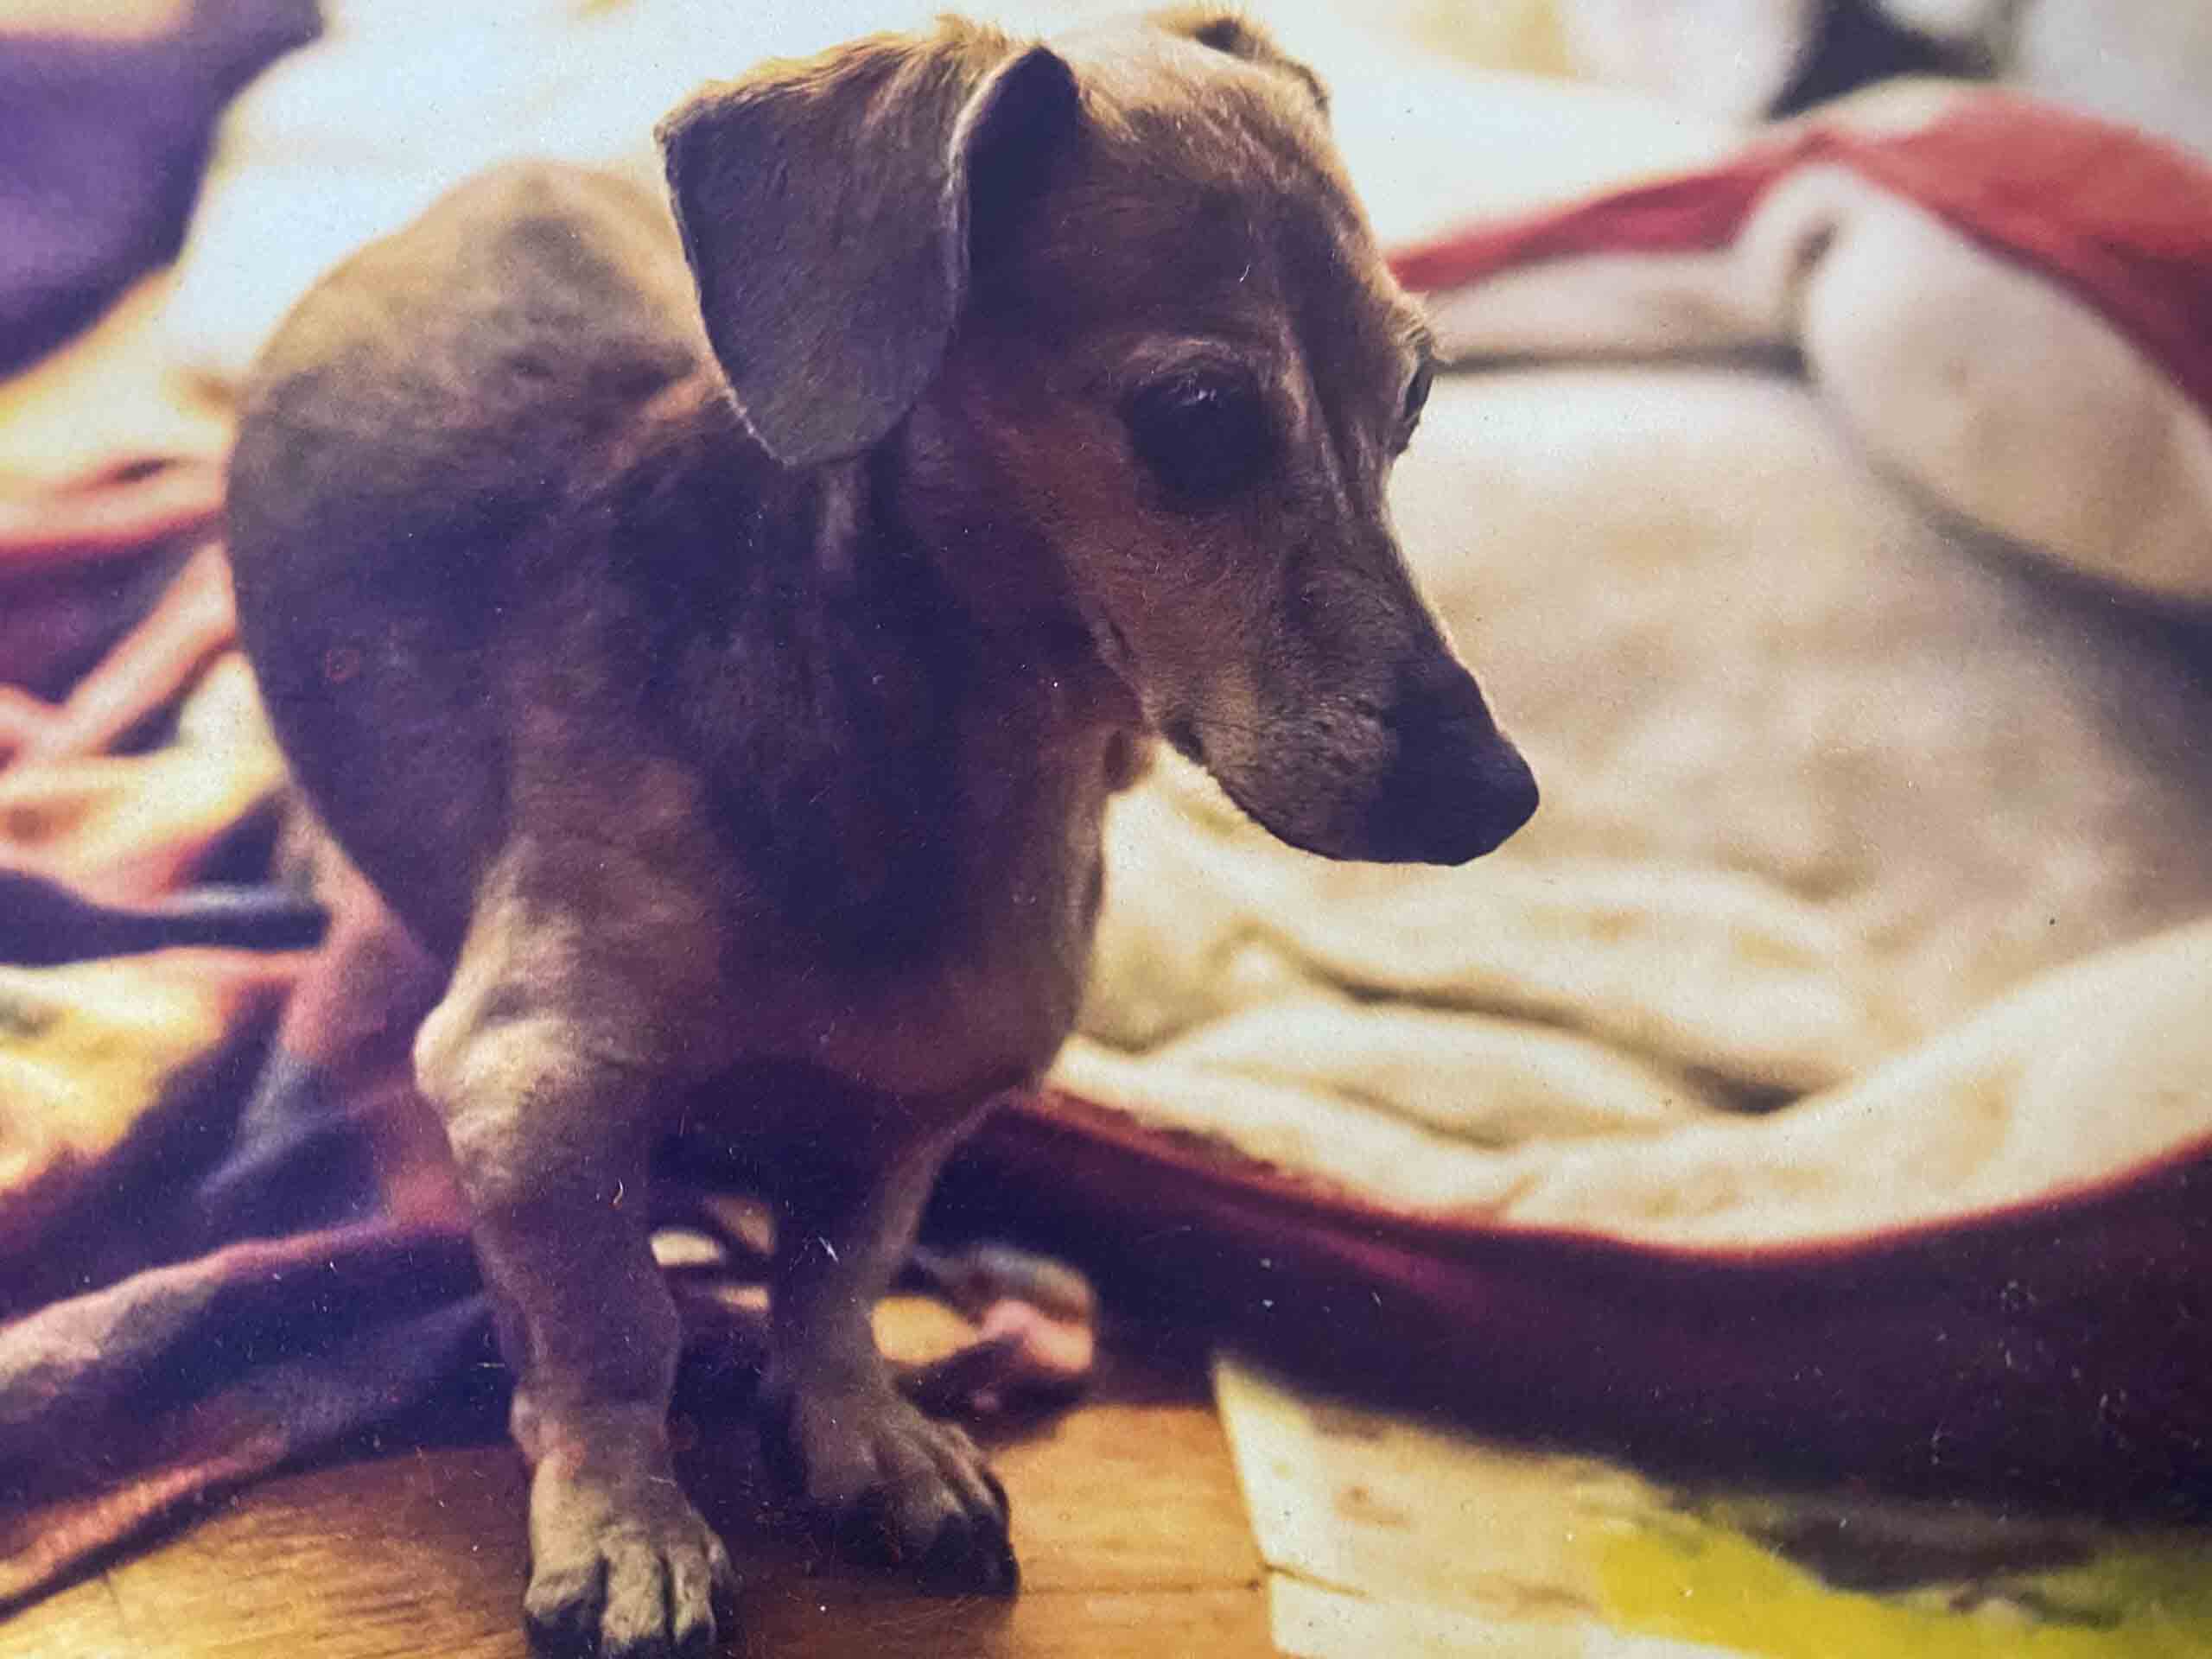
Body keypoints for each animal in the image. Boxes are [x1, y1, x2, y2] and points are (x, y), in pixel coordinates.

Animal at [224, 6, 1539, 1654]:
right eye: (1200, 425)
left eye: (1415, 405)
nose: (1498, 792)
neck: (937, 764)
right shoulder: (527, 1086)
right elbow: (616, 1323)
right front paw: (627, 1522)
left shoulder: (927, 1091)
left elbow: (840, 1276)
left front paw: (862, 1431)